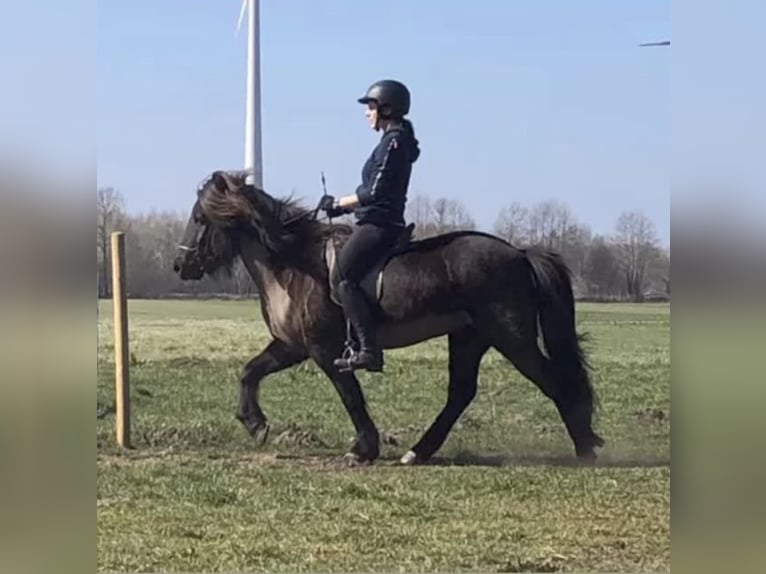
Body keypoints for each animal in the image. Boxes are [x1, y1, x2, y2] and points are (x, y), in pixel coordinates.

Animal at [172, 170, 604, 465]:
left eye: (200, 219)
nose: (180, 265)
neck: (294, 266)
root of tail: (519, 253)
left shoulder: (325, 350)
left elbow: (351, 397)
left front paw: (363, 448)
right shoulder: (293, 346)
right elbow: (250, 371)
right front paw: (255, 424)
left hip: (511, 336)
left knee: (554, 381)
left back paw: (586, 447)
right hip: (469, 336)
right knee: (461, 393)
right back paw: (418, 452)